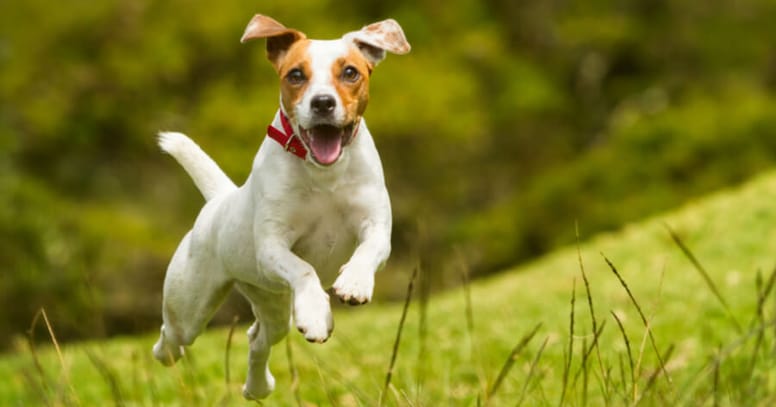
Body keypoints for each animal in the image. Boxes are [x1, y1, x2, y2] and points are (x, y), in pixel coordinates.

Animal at [149, 13, 410, 402]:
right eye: (296, 75)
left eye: (350, 72)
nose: (322, 103)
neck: (323, 174)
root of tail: (219, 200)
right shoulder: (272, 247)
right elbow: (304, 269)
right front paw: (316, 312)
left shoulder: (376, 226)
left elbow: (367, 250)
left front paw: (354, 283)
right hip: (191, 305)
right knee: (173, 337)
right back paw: (167, 353)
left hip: (272, 303)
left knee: (257, 339)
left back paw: (257, 387)